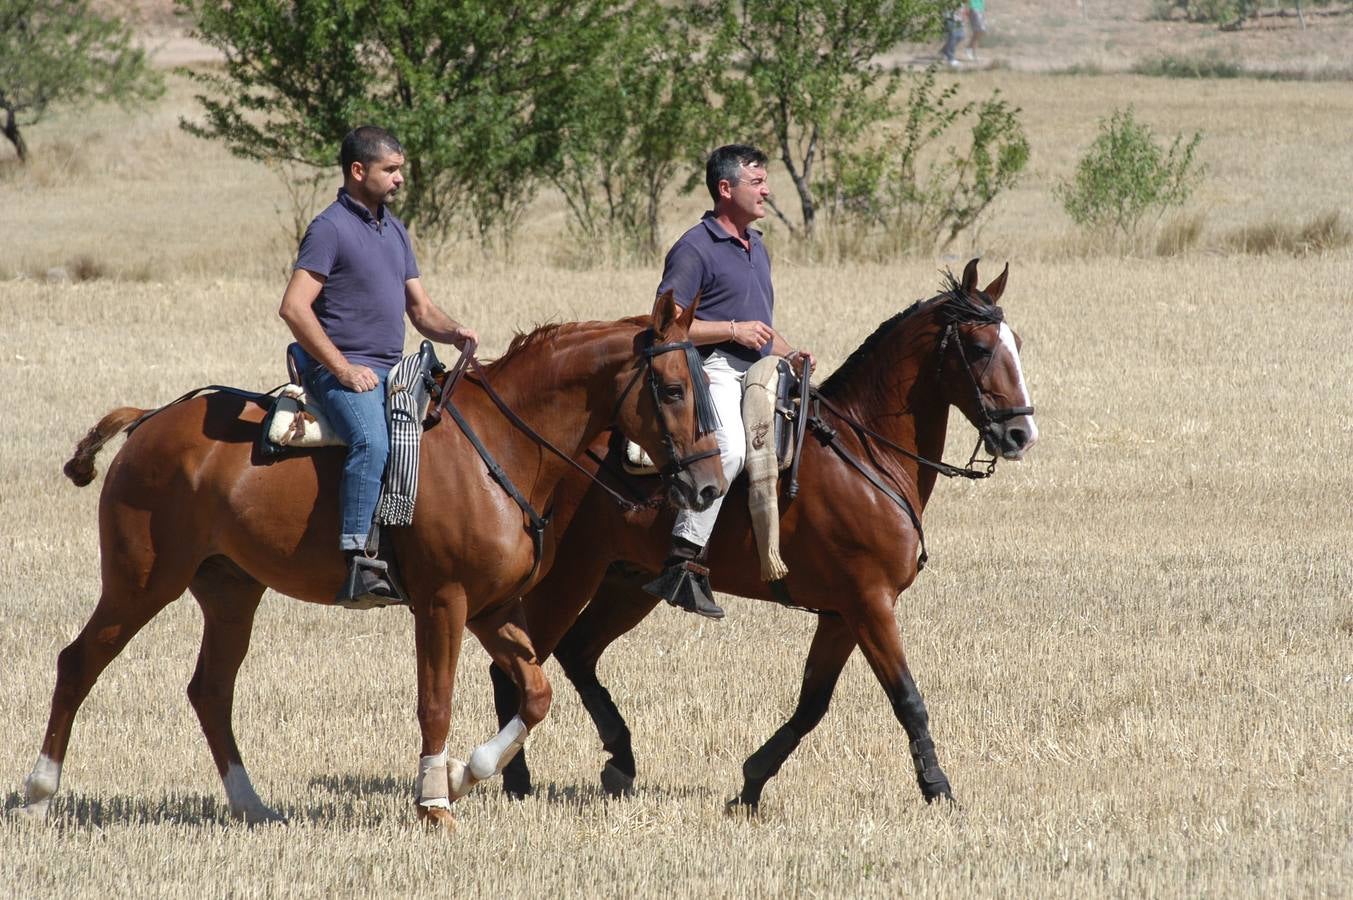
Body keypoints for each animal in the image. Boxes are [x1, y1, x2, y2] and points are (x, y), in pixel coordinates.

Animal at [15, 290, 725, 822]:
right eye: (670, 389)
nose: (711, 485)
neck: (500, 447)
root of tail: (150, 420)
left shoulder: (493, 609)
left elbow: (536, 693)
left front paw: (462, 776)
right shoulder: (443, 604)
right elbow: (435, 700)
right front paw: (435, 801)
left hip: (230, 591)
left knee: (210, 690)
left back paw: (252, 806)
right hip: (140, 581)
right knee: (78, 663)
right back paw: (39, 795)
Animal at [492, 258, 1039, 806]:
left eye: (1015, 342)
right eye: (979, 348)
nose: (1021, 434)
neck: (866, 453)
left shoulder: (841, 614)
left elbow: (812, 704)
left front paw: (751, 782)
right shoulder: (871, 603)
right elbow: (907, 697)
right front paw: (938, 788)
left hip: (627, 584)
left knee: (576, 653)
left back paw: (619, 761)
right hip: (568, 576)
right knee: (514, 668)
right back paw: (516, 778)